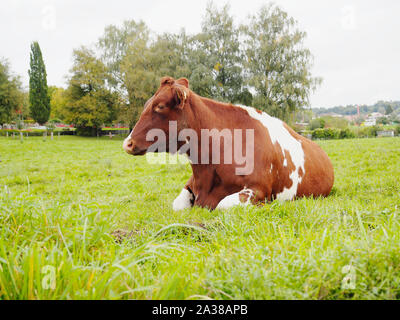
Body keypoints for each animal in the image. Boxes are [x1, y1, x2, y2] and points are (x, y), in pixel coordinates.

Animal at [122, 75, 334, 210]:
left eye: (160, 106)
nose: (127, 143)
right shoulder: (191, 186)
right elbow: (177, 205)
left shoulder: (258, 189)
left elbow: (222, 206)